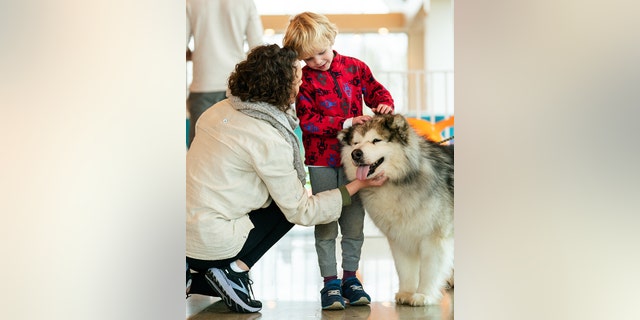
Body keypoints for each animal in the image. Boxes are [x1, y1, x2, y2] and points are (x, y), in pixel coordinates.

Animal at [338, 114, 452, 306]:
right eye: (355, 143)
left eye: (376, 140)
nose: (356, 153)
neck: (400, 180)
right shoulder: (400, 237)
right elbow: (405, 268)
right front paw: (407, 293)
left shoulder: (434, 238)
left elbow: (429, 269)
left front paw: (423, 295)